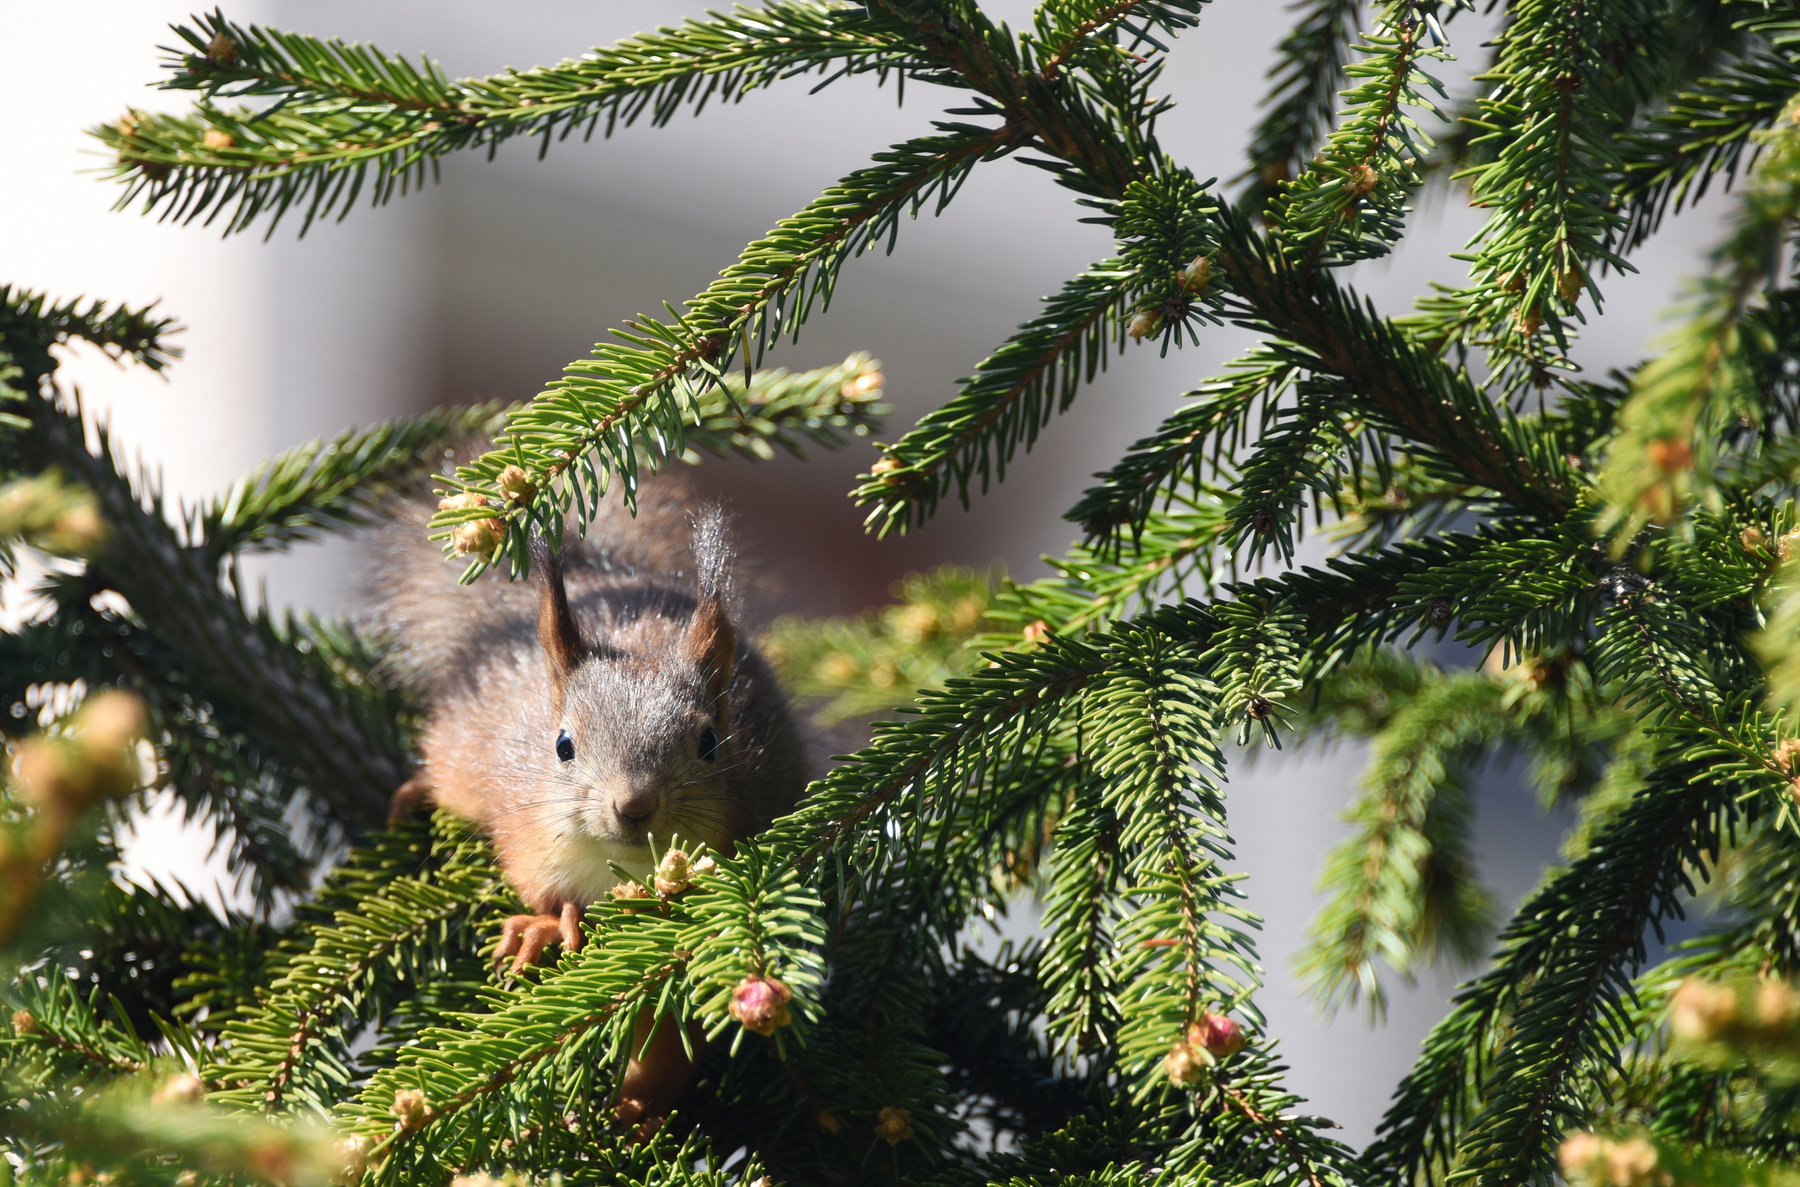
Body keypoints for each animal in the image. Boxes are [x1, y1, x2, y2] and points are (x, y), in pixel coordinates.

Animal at [364, 469, 808, 1124]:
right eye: (563, 745)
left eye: (709, 743)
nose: (634, 807)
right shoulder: (526, 835)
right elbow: (540, 891)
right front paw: (550, 924)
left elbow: (669, 1042)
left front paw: (640, 1106)